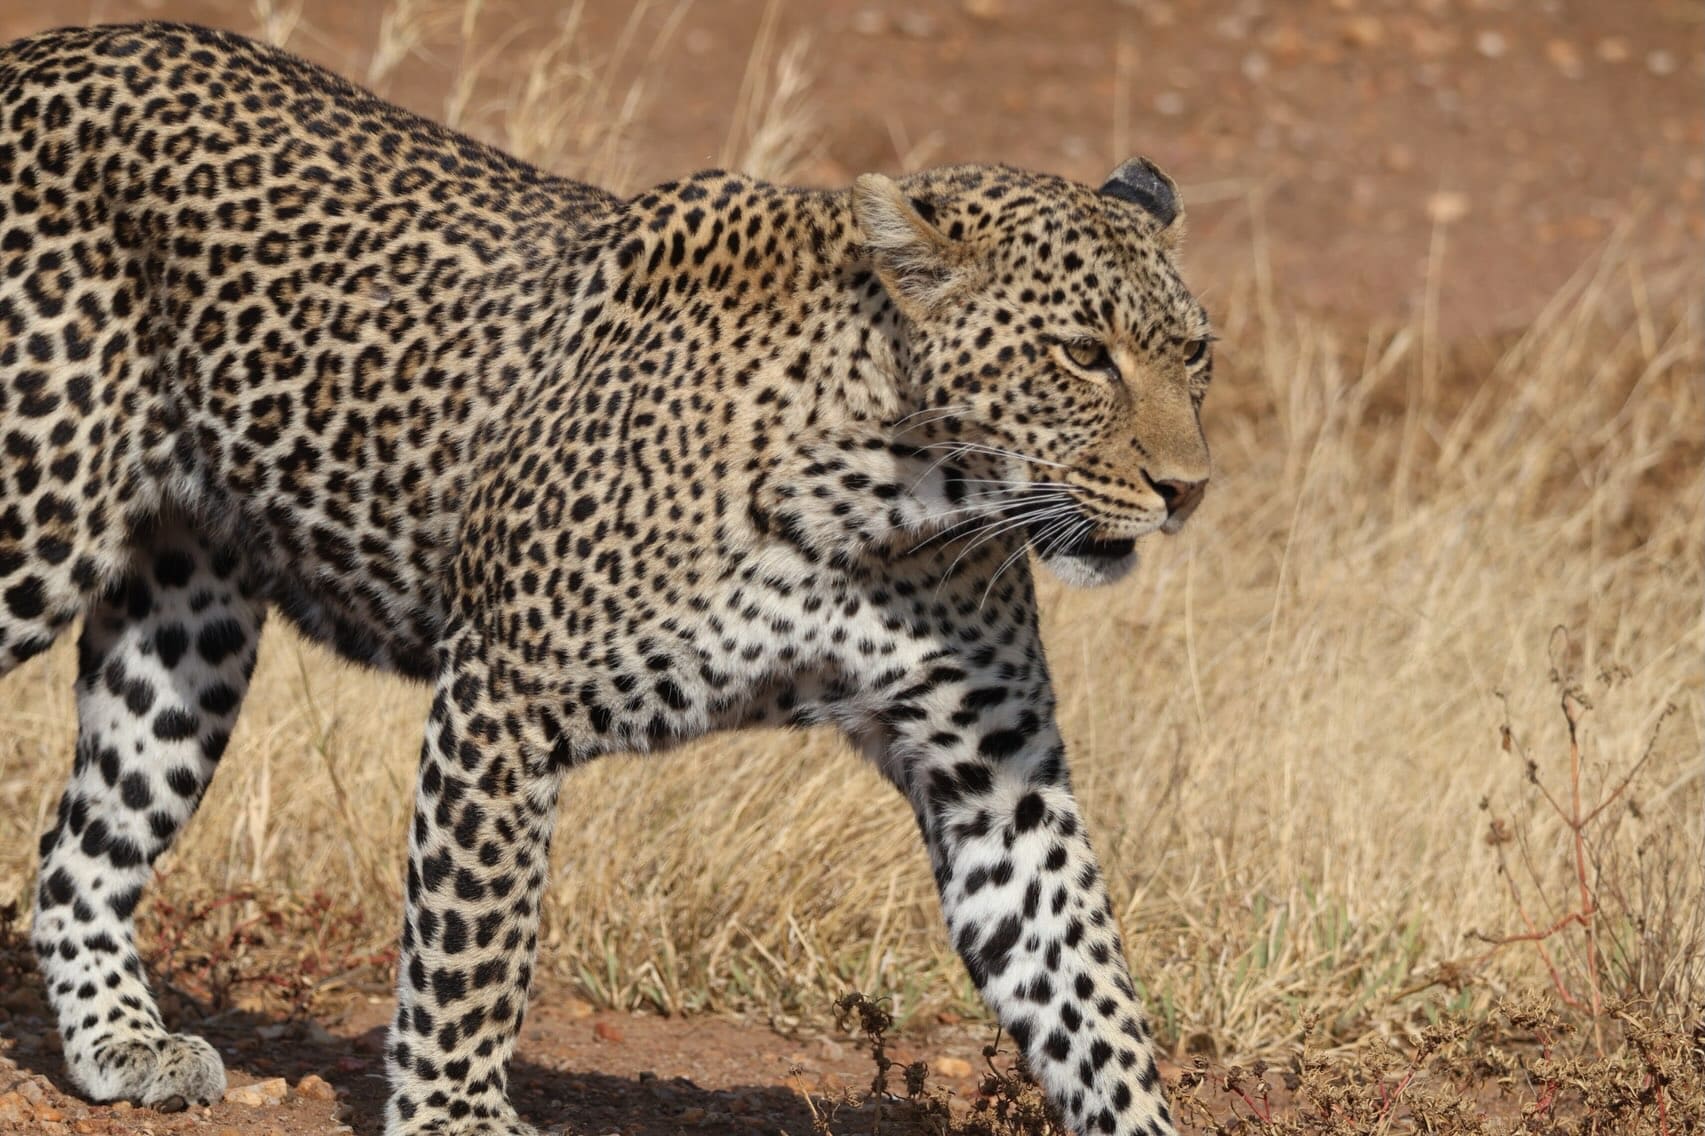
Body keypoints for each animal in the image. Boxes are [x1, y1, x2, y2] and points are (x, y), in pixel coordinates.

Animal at [0, 21, 1214, 1136]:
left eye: (1195, 352)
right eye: (1082, 355)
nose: (1188, 489)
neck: (896, 508)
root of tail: (46, 49)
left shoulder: (996, 771)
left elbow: (1087, 988)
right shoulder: (502, 693)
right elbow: (474, 941)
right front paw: (455, 1117)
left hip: (184, 623)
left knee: (76, 854)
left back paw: (125, 1044)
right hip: (34, 525)